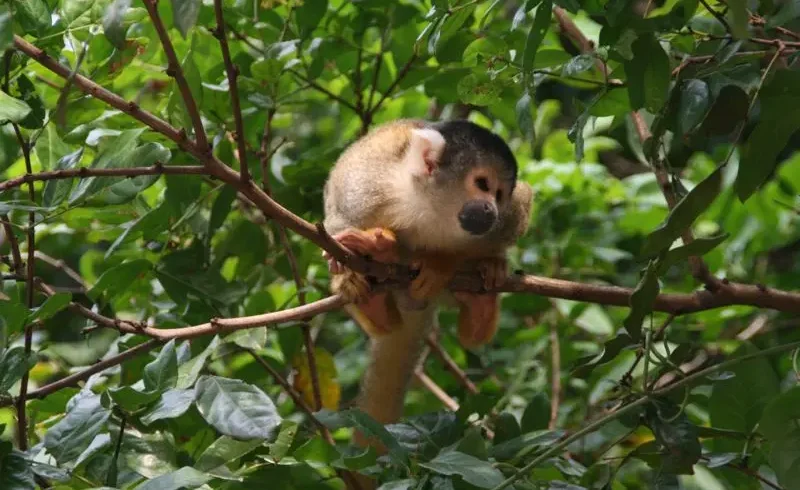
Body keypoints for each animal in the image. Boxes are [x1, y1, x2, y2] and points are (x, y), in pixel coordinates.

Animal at [318, 118, 532, 448]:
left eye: (499, 194)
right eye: (483, 184)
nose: (491, 209)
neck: (429, 208)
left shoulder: (508, 218)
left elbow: (521, 207)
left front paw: (441, 263)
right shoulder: (364, 185)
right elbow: (337, 215)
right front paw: (349, 270)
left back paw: (480, 298)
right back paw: (377, 289)